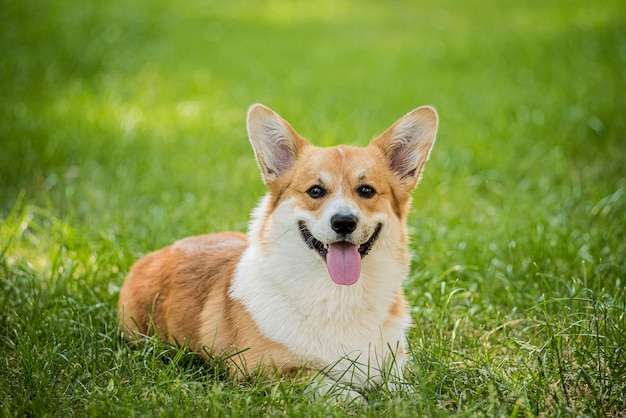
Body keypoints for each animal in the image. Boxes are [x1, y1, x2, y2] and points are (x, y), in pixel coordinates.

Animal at [119, 103, 436, 398]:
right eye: (315, 191)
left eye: (367, 190)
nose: (344, 222)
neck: (339, 295)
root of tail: (157, 253)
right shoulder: (261, 370)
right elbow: (329, 385)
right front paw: (357, 399)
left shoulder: (396, 360)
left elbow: (406, 388)